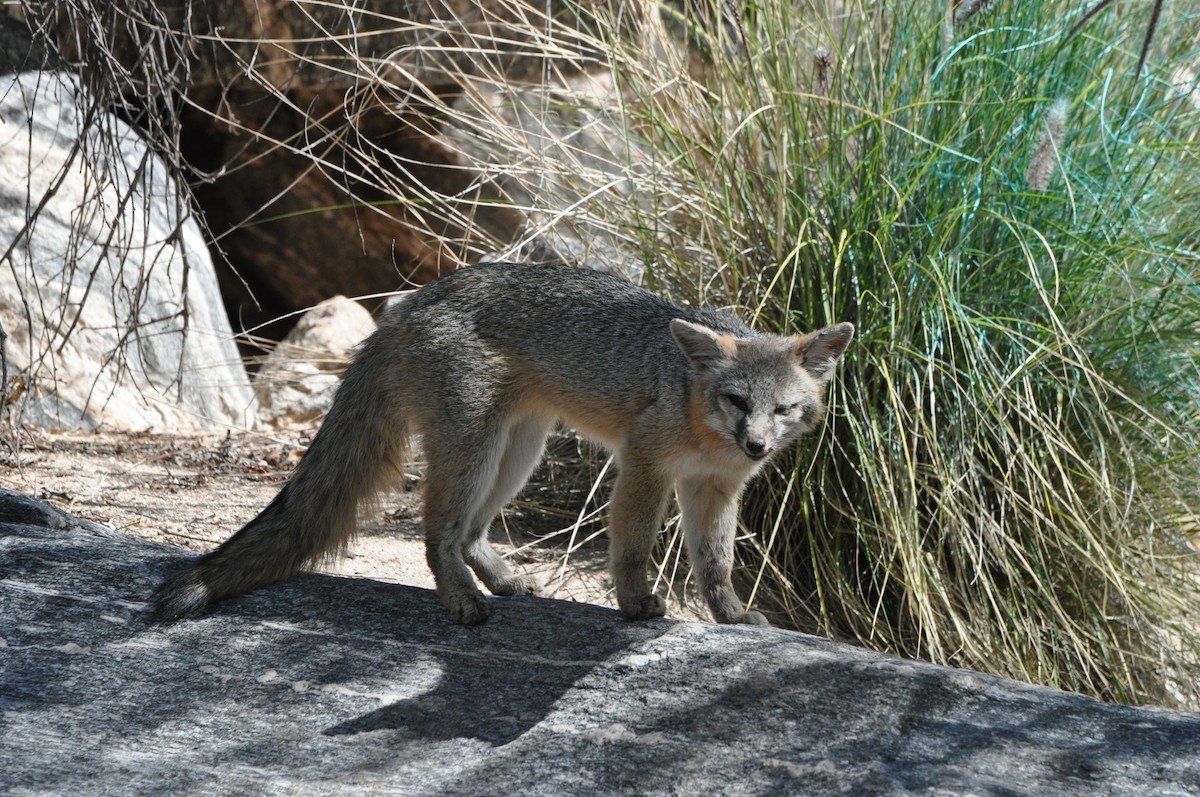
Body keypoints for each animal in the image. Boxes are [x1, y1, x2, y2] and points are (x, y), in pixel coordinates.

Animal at [153, 262, 853, 627]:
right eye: (736, 401)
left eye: (783, 409)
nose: (757, 444)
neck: (704, 426)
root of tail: (412, 302)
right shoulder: (645, 466)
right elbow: (632, 550)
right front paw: (634, 605)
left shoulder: (714, 487)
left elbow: (715, 562)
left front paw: (731, 614)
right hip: (475, 449)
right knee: (436, 532)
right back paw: (460, 598)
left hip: (519, 452)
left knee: (468, 533)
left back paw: (496, 580)